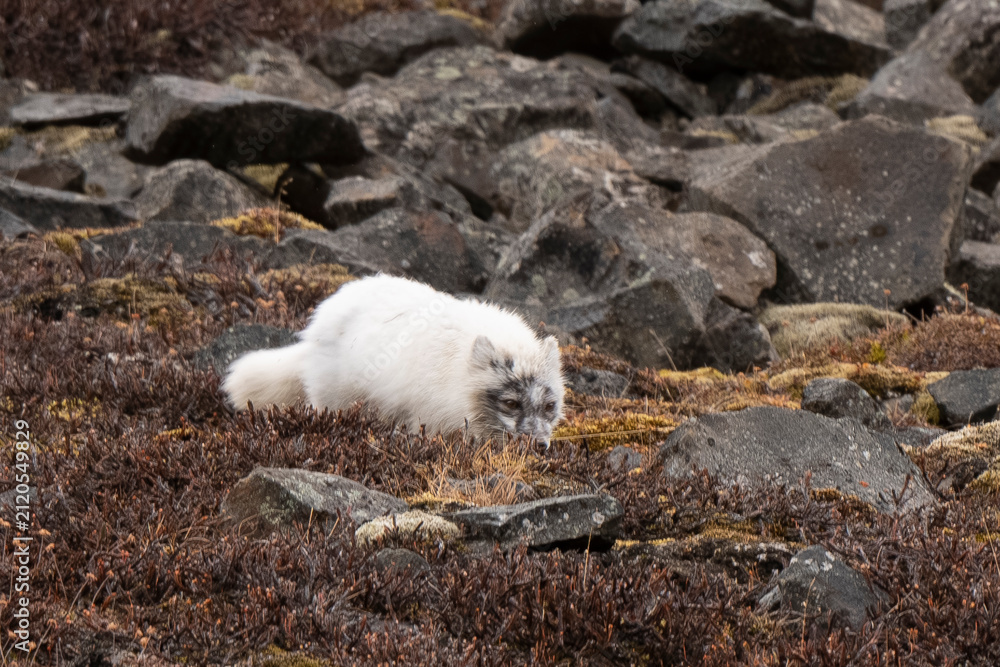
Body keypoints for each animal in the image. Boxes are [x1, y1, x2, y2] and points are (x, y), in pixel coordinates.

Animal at [222, 275, 565, 445]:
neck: (458, 366)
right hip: (336, 399)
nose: (540, 445)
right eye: (510, 403)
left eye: (550, 406)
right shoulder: (432, 417)